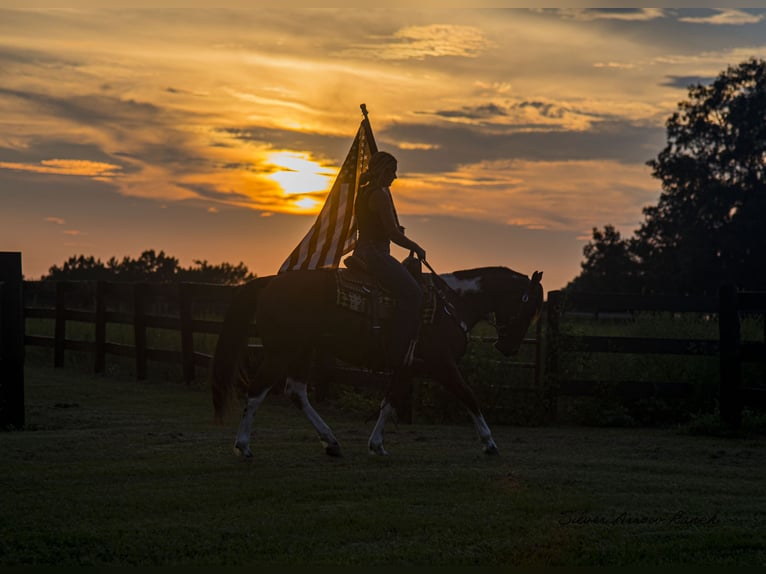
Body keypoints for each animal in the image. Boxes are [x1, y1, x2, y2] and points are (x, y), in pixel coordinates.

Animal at [210, 264, 544, 460]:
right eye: (529, 307)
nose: (509, 348)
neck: (453, 303)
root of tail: (270, 282)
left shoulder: (408, 367)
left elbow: (389, 402)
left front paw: (376, 444)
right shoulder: (441, 363)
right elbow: (469, 395)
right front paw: (489, 442)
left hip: (303, 350)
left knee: (296, 391)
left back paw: (331, 441)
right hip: (282, 351)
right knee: (257, 391)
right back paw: (243, 445)